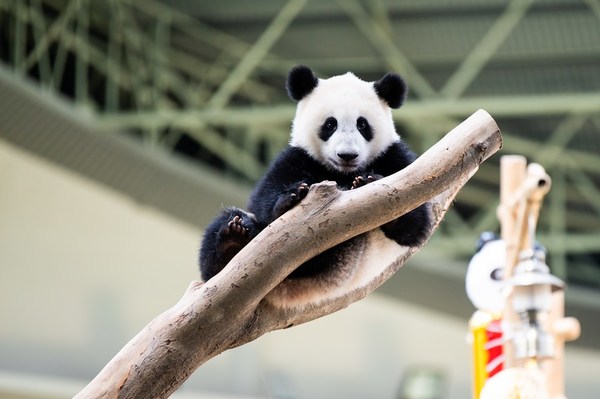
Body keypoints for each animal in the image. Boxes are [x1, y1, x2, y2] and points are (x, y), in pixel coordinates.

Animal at [200, 65, 432, 308]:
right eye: (330, 124)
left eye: (362, 124)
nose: (347, 155)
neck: (341, 173)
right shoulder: (300, 155)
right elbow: (263, 199)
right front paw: (290, 197)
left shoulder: (395, 157)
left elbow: (416, 224)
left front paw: (369, 181)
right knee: (224, 227)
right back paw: (232, 240)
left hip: (343, 257)